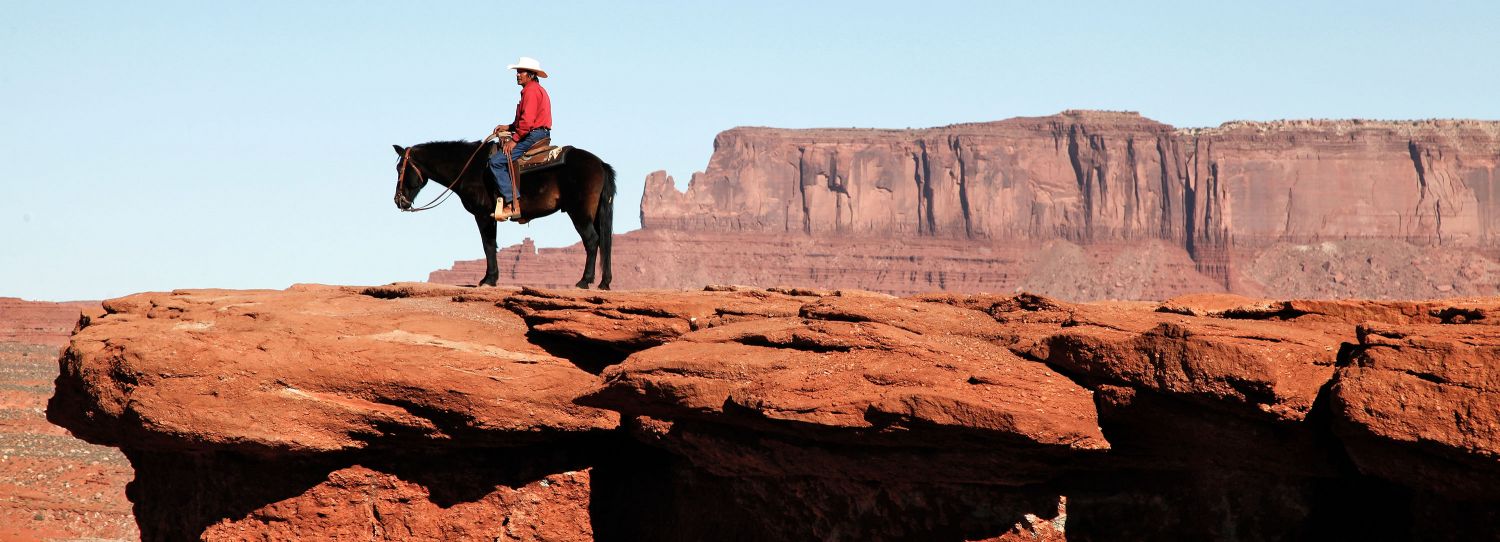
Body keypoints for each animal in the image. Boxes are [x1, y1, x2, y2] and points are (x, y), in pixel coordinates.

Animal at [396, 141, 618, 289]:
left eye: (400, 168)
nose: (398, 200)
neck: (470, 168)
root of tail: (600, 164)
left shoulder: (483, 215)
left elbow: (487, 245)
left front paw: (488, 279)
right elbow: (492, 245)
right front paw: (491, 278)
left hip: (579, 213)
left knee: (592, 241)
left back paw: (584, 281)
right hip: (595, 214)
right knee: (603, 241)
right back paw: (604, 282)